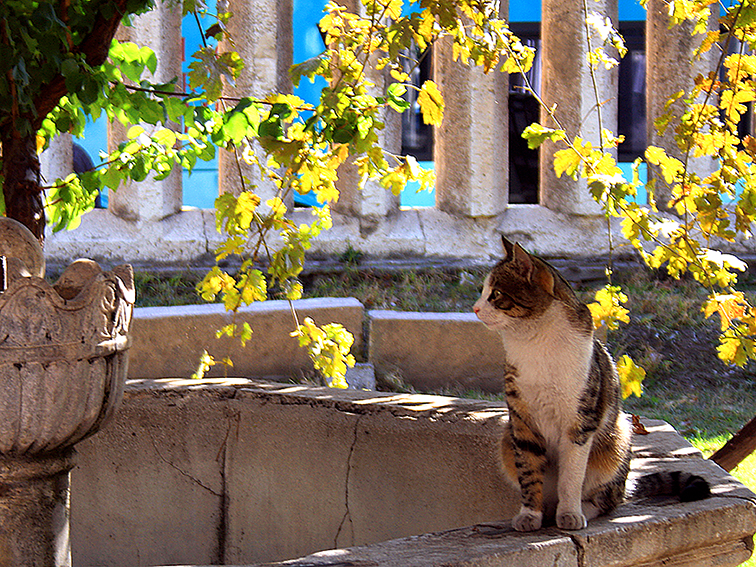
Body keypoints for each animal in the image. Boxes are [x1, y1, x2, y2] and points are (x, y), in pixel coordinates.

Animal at [472, 236, 708, 532]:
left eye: (496, 294)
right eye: (483, 291)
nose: (475, 308)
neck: (535, 342)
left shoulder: (580, 423)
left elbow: (571, 477)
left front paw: (570, 513)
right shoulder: (522, 421)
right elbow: (529, 473)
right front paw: (530, 515)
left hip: (618, 437)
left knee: (608, 499)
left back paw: (584, 508)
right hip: (507, 438)